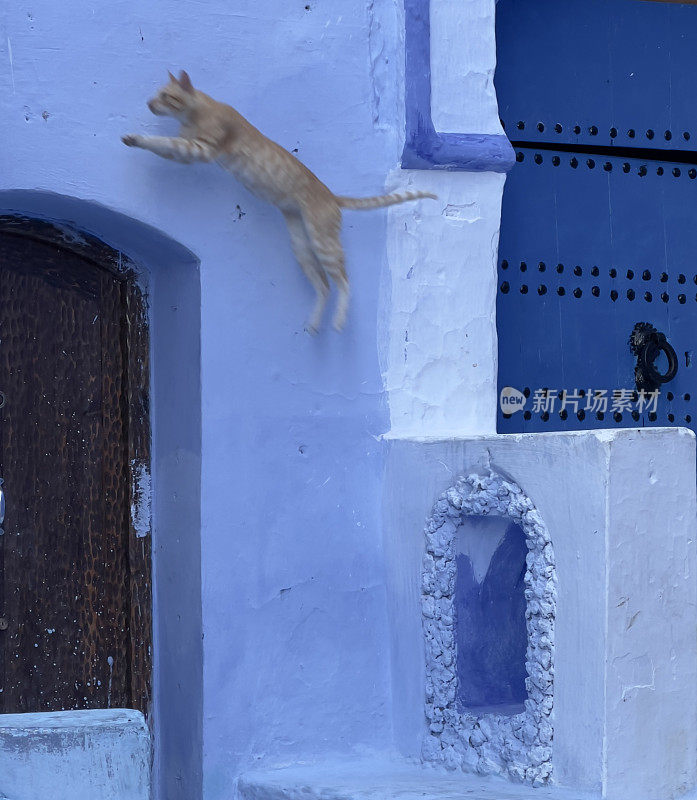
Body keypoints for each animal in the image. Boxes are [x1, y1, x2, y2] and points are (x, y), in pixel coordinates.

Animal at [122, 69, 432, 332]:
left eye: (165, 96)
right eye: (157, 94)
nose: (149, 103)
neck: (195, 112)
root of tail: (332, 196)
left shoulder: (201, 149)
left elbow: (164, 143)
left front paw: (136, 138)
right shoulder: (189, 151)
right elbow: (169, 147)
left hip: (323, 241)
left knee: (344, 282)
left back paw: (338, 320)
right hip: (301, 245)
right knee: (324, 286)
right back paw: (314, 324)